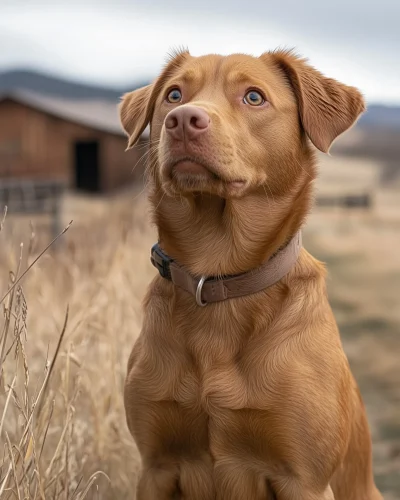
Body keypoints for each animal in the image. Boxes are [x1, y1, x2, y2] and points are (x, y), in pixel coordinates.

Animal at [120, 48, 382, 498]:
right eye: (174, 94)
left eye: (254, 97)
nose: (183, 120)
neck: (217, 273)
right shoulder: (155, 467)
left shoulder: (304, 480)